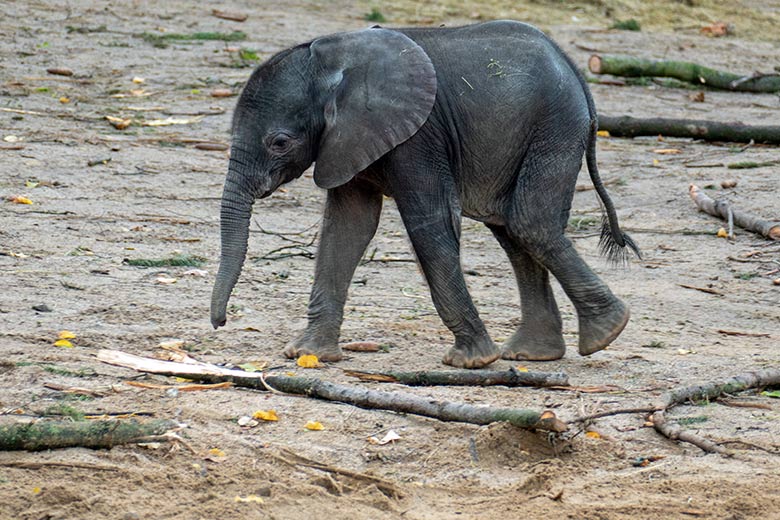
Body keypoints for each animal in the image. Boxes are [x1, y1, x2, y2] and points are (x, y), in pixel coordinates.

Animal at [210, 20, 636, 368]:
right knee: (511, 228)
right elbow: (347, 228)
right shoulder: (347, 139)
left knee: (530, 223)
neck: (331, 62)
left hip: (555, 125)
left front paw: (472, 361)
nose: (221, 322)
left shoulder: (420, 135)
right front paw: (308, 355)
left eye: (280, 143)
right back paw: (538, 352)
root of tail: (575, 68)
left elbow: (429, 221)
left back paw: (607, 332)